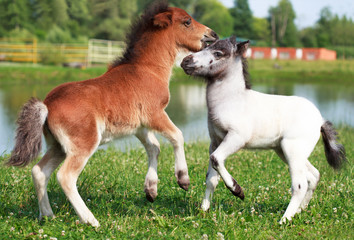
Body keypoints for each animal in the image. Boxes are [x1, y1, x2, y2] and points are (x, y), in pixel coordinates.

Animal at [6, 2, 218, 227]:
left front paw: (151, 190)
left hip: (58, 146)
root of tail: (46, 104)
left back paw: (47, 216)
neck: (148, 69)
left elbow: (154, 148)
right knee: (65, 176)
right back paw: (90, 220)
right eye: (187, 22)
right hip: (84, 143)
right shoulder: (154, 114)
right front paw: (183, 179)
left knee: (39, 171)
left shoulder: (139, 126)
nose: (212, 34)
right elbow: (177, 136)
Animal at [181, 36, 348, 224]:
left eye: (218, 53)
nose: (185, 61)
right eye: (205, 46)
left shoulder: (236, 138)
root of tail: (320, 120)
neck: (231, 101)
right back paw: (300, 211)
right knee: (313, 175)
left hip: (293, 151)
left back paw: (284, 220)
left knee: (300, 184)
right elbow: (211, 178)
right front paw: (203, 211)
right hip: (285, 151)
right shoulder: (215, 142)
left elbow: (216, 159)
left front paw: (237, 190)